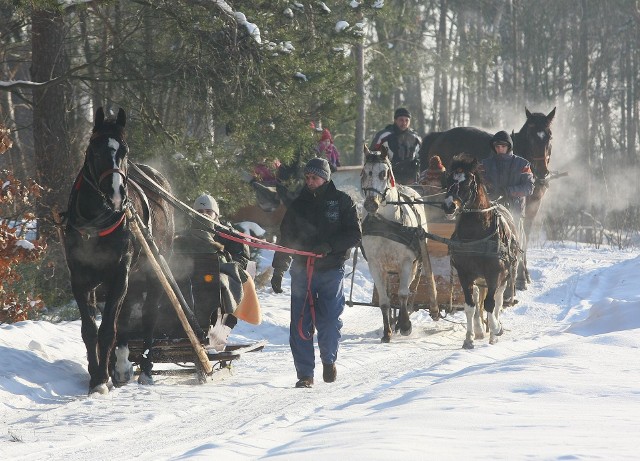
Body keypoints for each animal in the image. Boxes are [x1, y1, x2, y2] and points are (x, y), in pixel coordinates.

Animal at [65, 107, 175, 392]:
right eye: (94, 150)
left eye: (124, 150)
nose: (116, 193)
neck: (97, 222)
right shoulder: (80, 278)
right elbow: (90, 329)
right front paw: (96, 375)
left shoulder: (118, 274)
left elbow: (107, 329)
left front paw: (102, 378)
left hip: (152, 269)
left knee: (147, 316)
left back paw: (144, 369)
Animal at [362, 146, 438, 342]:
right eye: (364, 172)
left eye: (383, 173)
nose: (370, 204)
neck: (386, 224)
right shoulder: (375, 264)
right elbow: (384, 300)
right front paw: (387, 332)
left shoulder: (406, 262)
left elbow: (403, 294)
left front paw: (405, 326)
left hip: (416, 262)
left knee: (410, 289)